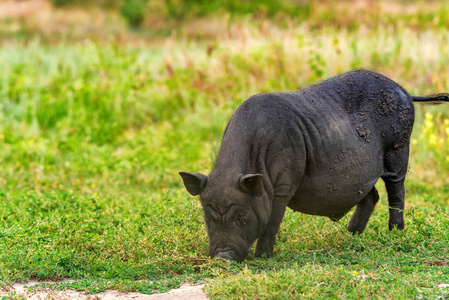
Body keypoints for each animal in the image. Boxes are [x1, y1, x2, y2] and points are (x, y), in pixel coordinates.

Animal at [178, 69, 444, 262]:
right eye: (209, 217)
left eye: (241, 216)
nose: (223, 257)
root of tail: (405, 91)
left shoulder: (284, 184)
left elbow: (273, 219)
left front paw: (263, 257)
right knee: (372, 195)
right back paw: (350, 236)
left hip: (398, 149)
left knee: (396, 190)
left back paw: (395, 233)